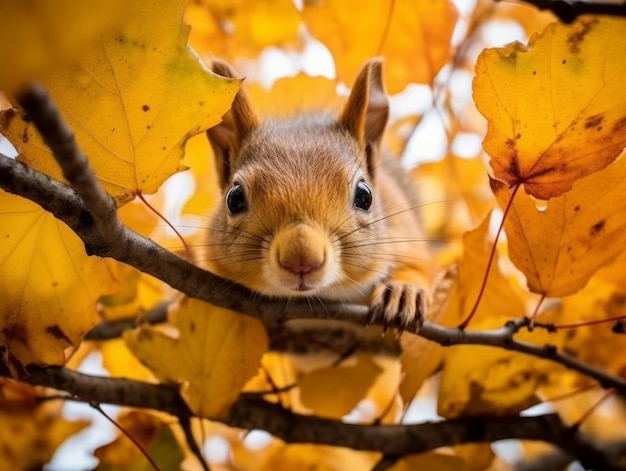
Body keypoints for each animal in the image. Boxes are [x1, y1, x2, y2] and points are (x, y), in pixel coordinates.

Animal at [204, 59, 428, 332]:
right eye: (234, 200)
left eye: (365, 196)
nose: (301, 259)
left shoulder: (404, 227)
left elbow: (420, 265)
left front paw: (404, 291)